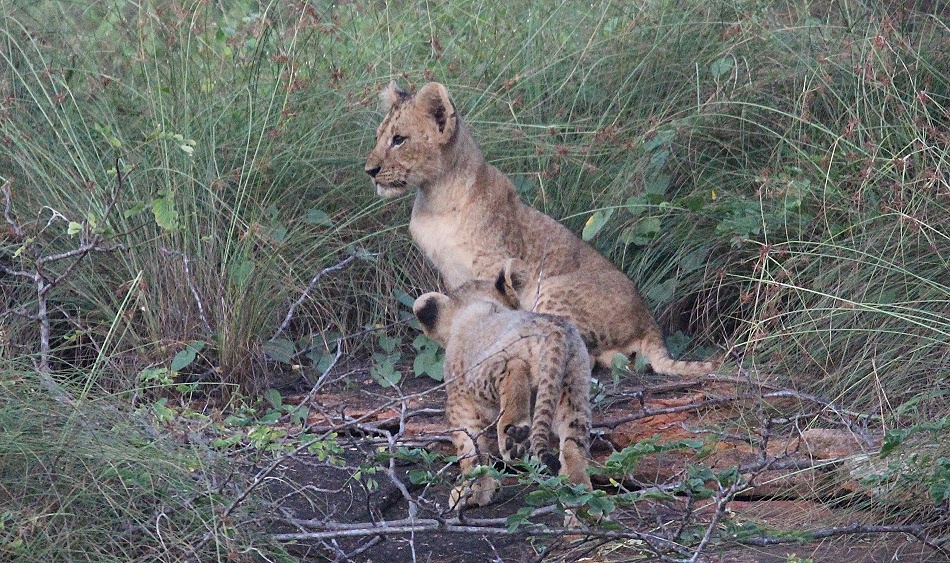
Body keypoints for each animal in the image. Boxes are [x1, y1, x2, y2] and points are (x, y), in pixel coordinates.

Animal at [366, 80, 718, 375]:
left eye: (398, 140)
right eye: (378, 137)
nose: (370, 170)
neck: (435, 198)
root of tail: (650, 322)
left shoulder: (494, 264)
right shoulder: (450, 272)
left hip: (551, 289)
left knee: (580, 351)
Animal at [413, 277, 592, 521]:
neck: (476, 304)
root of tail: (557, 328)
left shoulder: (460, 403)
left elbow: (470, 450)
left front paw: (472, 492)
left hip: (483, 372)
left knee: (513, 367)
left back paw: (513, 435)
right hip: (573, 392)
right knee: (574, 450)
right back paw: (584, 510)